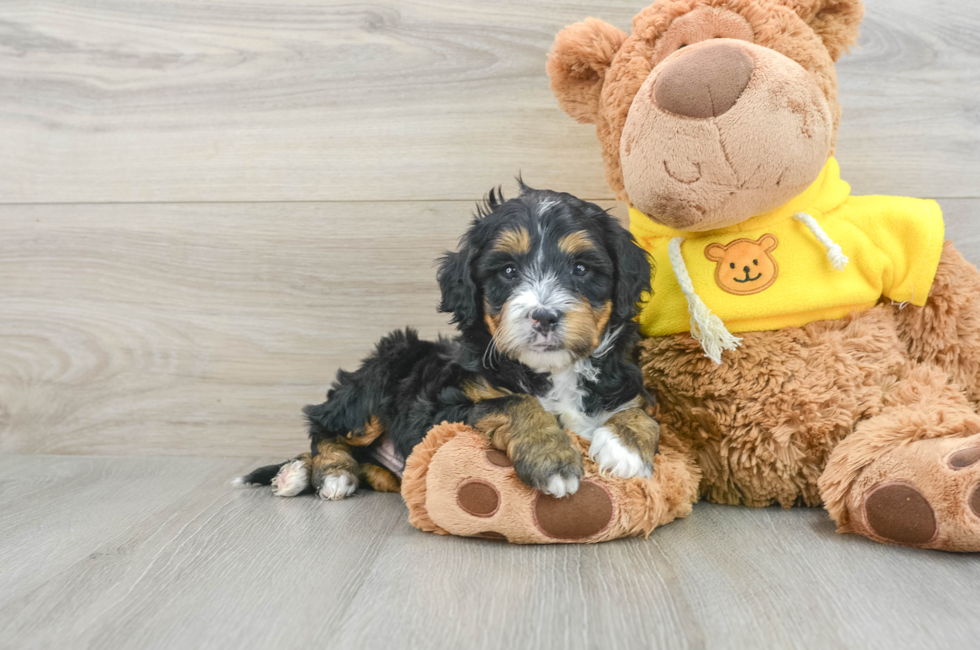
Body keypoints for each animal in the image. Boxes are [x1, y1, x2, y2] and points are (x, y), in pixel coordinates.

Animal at [237, 185, 660, 498]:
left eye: (581, 268)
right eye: (508, 271)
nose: (543, 316)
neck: (552, 372)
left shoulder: (626, 387)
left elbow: (645, 414)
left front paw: (623, 447)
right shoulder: (442, 411)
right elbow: (514, 402)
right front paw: (551, 458)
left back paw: (299, 474)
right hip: (380, 376)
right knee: (324, 426)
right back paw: (323, 474)